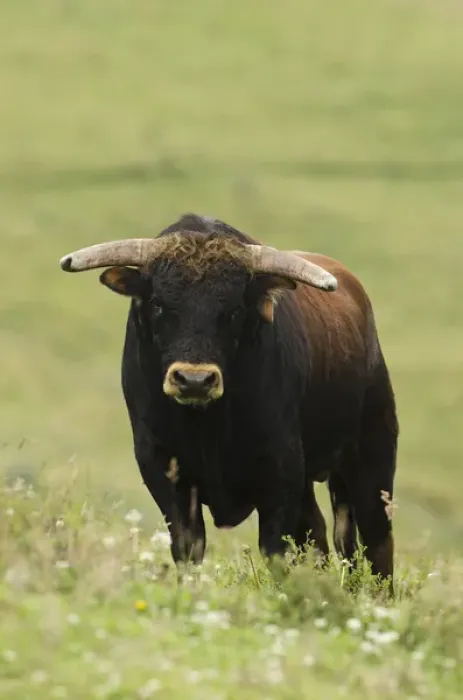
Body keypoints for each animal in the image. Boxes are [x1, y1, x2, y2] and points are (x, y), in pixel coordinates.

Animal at [60, 213, 399, 593]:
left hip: (372, 456)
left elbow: (276, 550)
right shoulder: (162, 468)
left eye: (234, 310)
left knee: (375, 538)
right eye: (158, 303)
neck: (208, 425)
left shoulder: (280, 472)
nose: (194, 380)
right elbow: (188, 547)